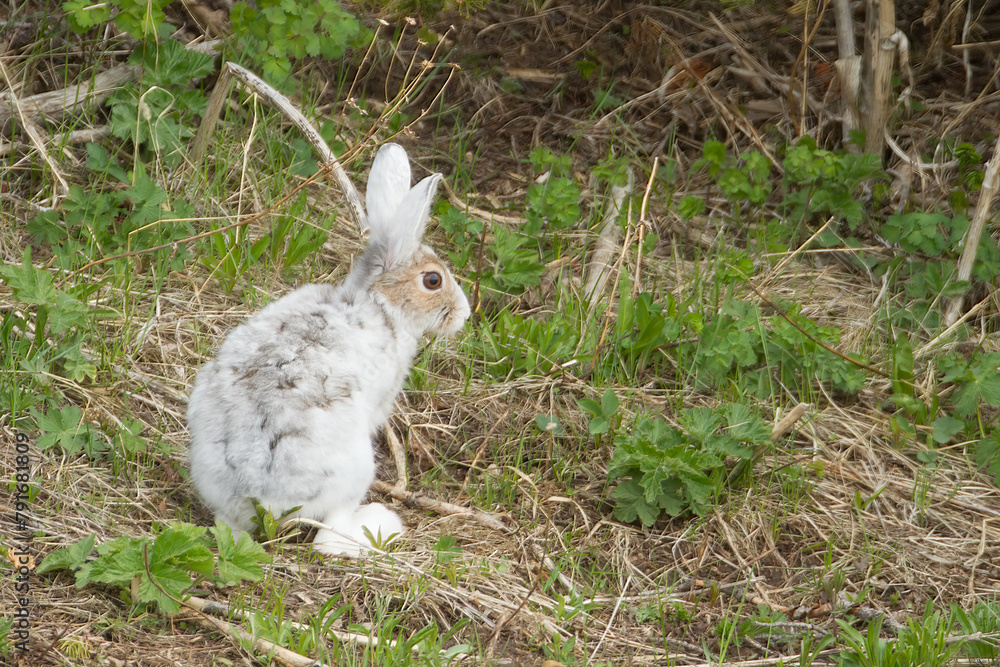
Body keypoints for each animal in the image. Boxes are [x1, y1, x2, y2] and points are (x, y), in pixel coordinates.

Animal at [186, 143, 470, 556]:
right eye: (433, 280)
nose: (465, 313)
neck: (377, 302)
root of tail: (261, 501)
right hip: (355, 472)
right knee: (327, 539)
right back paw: (380, 523)